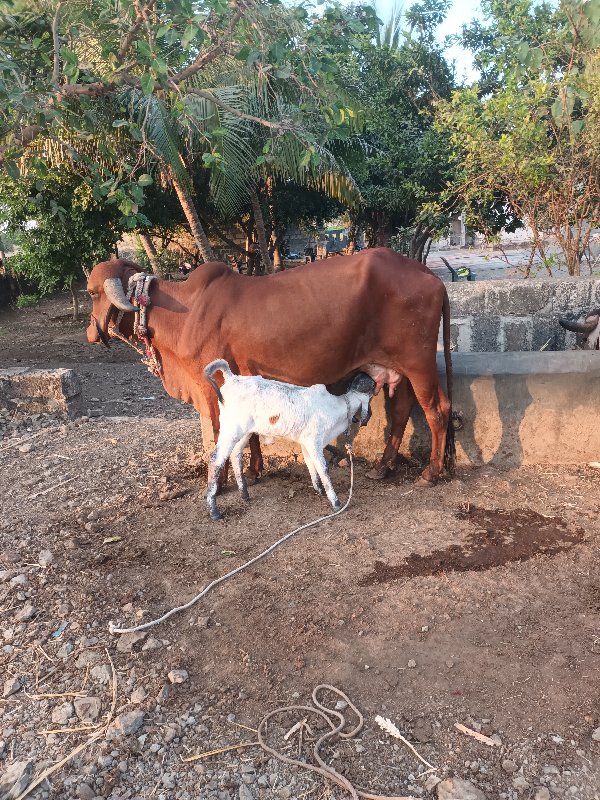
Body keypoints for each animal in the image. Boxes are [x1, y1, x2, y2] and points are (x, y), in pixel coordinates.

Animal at [86, 250, 454, 484]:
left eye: (91, 293)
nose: (91, 332)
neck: (184, 312)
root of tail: (431, 276)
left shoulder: (210, 385)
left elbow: (221, 431)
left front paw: (222, 480)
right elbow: (248, 432)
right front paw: (254, 470)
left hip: (418, 363)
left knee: (437, 410)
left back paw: (432, 473)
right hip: (398, 369)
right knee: (403, 411)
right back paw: (384, 466)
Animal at [205, 360, 376, 520]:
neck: (338, 407)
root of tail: (232, 378)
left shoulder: (306, 442)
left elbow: (310, 464)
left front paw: (319, 489)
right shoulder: (314, 441)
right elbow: (323, 468)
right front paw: (336, 503)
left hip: (244, 432)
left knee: (236, 455)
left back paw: (244, 494)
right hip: (231, 430)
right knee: (215, 459)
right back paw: (214, 511)